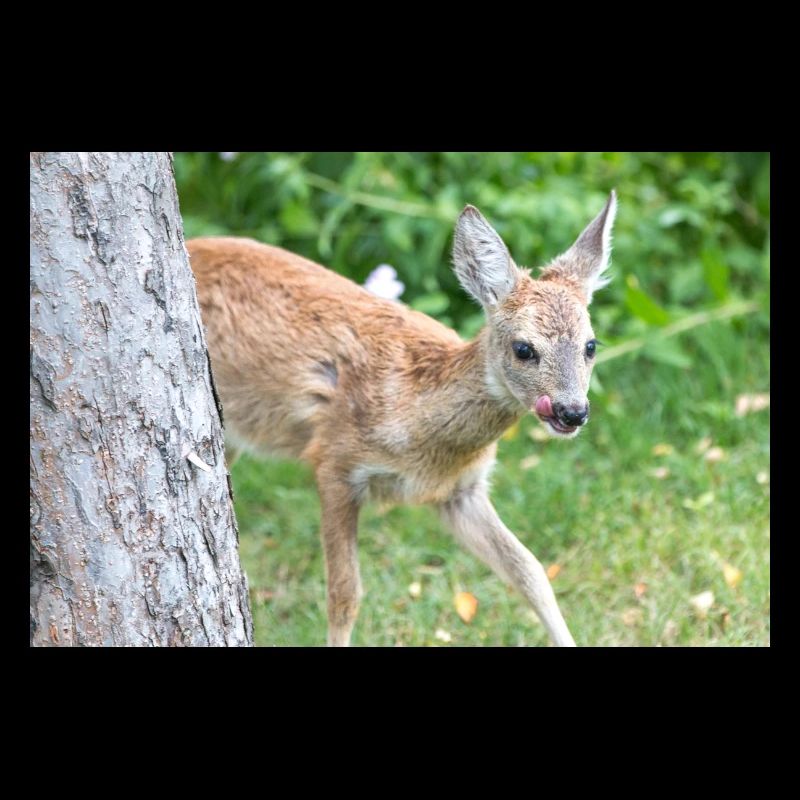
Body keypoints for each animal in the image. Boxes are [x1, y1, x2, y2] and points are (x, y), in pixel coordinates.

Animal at [187, 190, 617, 647]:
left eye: (591, 345)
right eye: (523, 349)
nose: (572, 411)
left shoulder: (461, 492)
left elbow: (530, 571)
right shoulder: (334, 462)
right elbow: (344, 594)